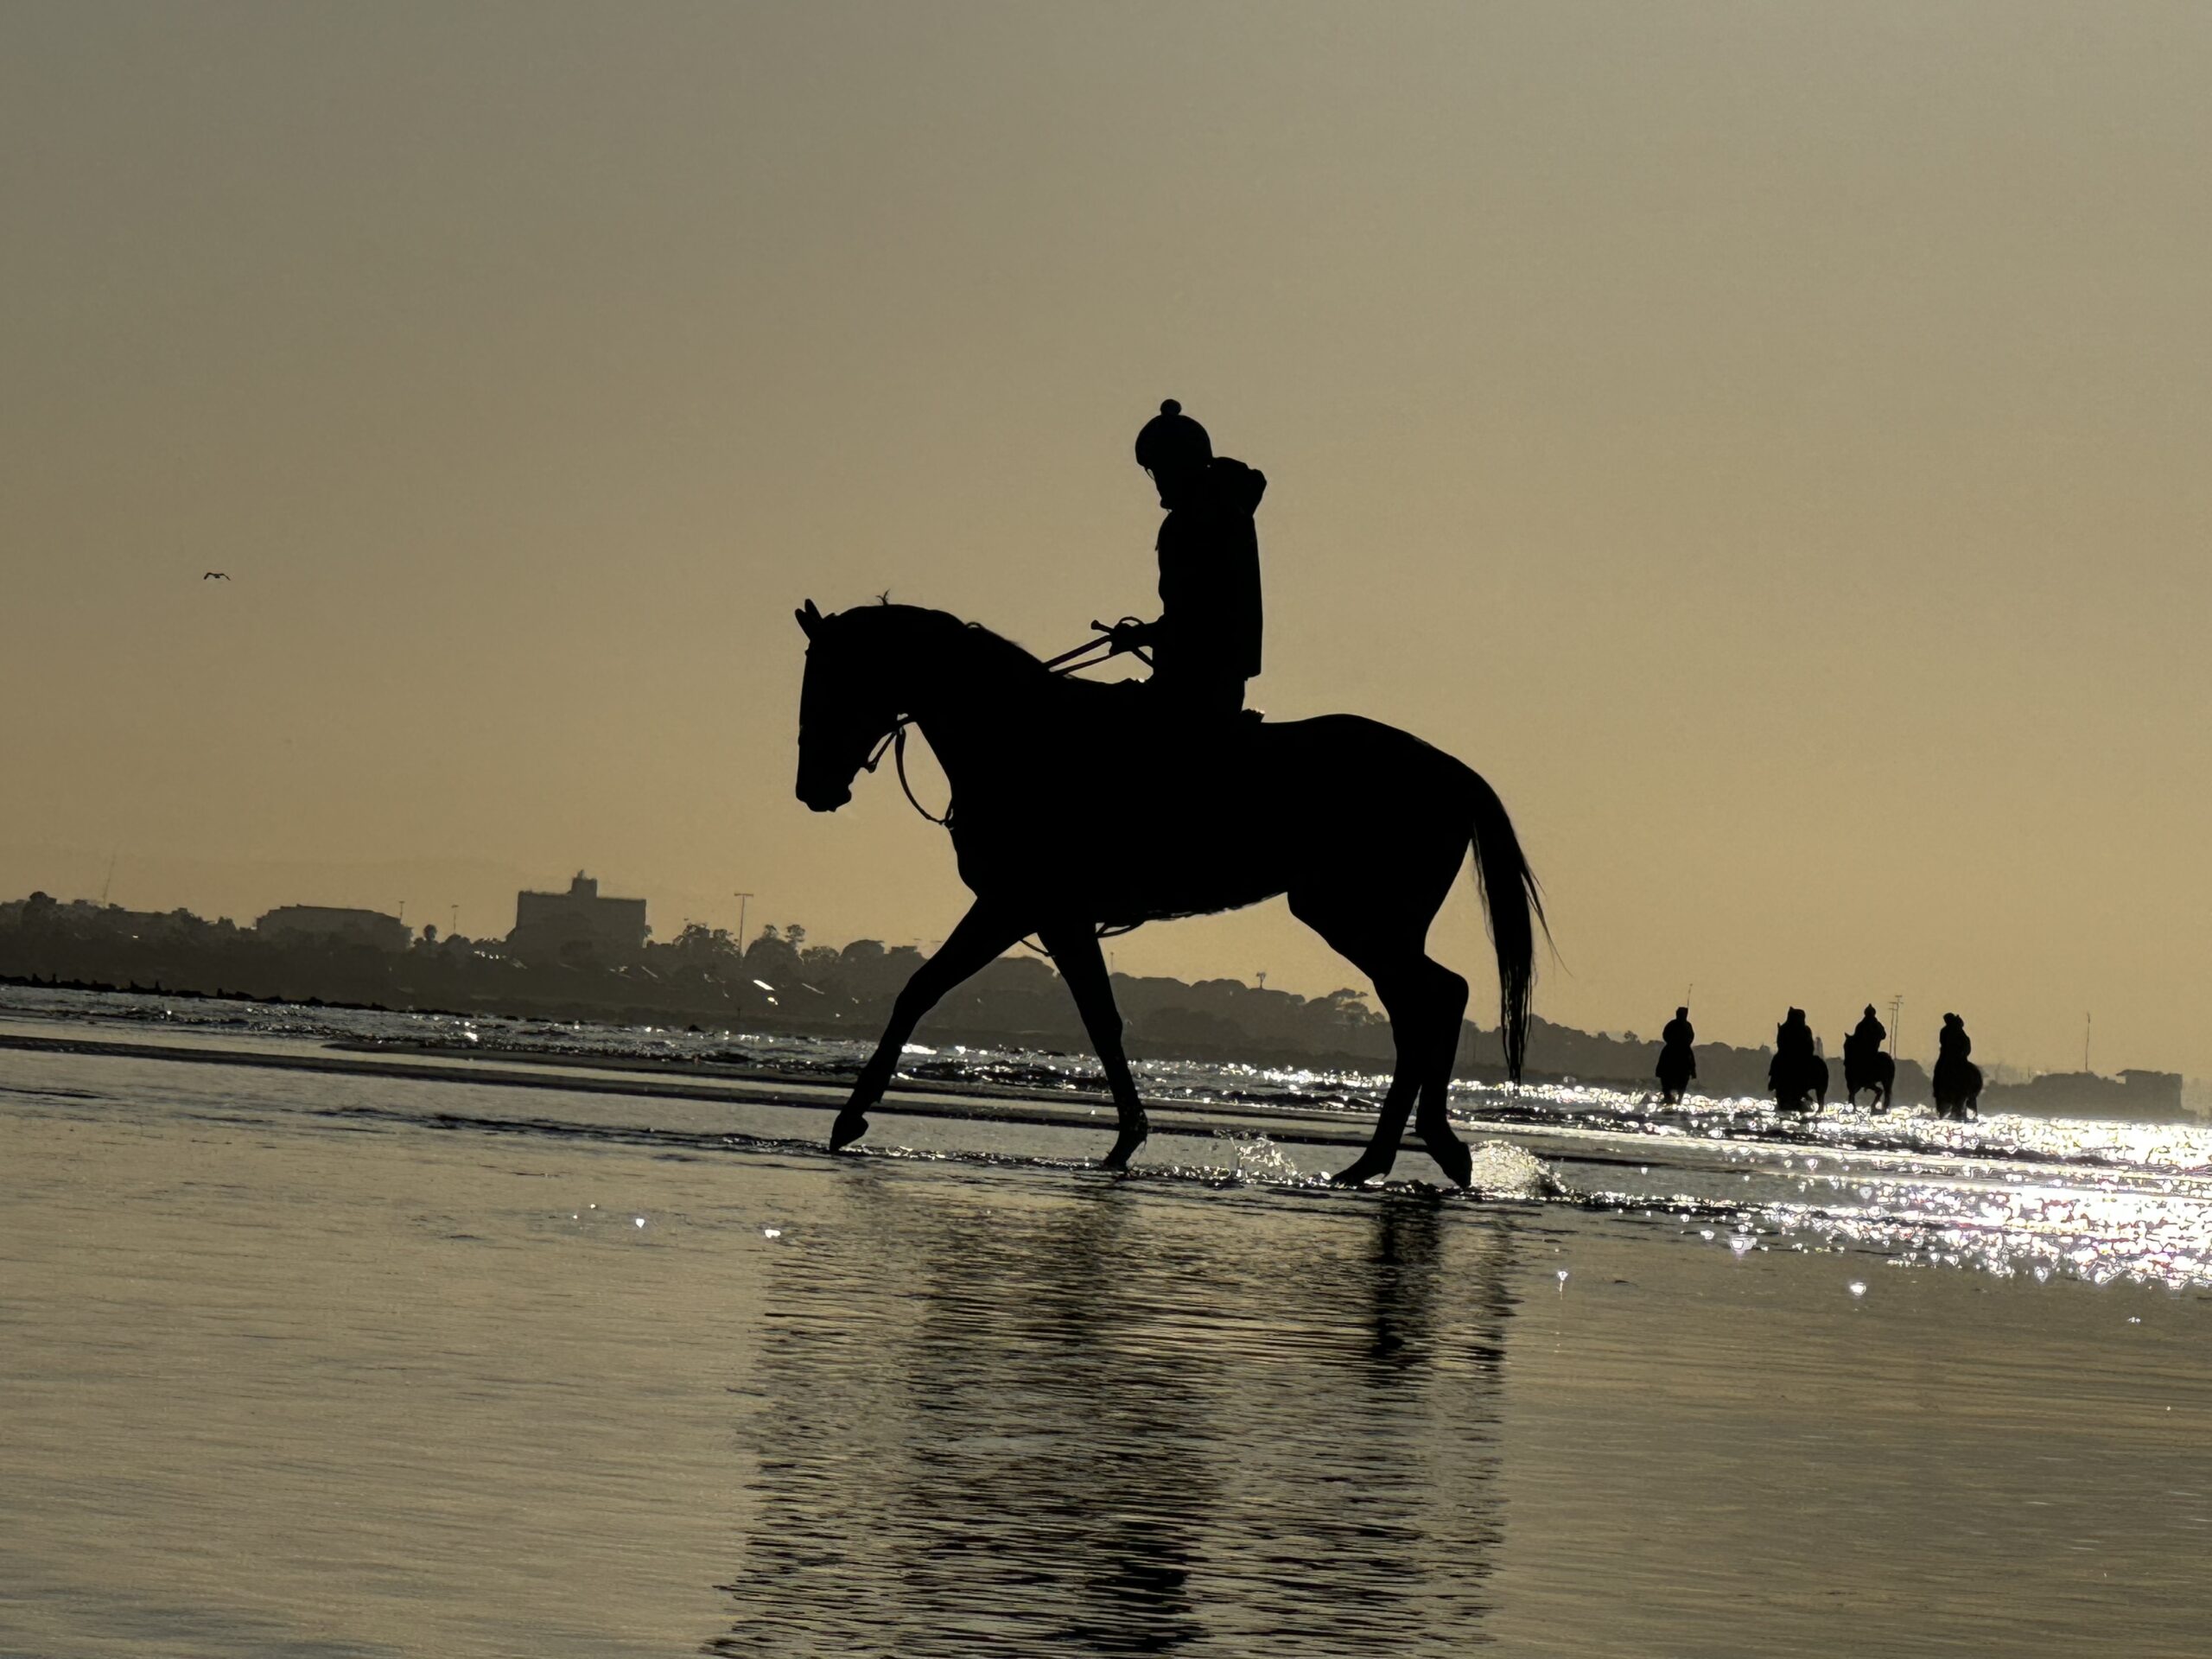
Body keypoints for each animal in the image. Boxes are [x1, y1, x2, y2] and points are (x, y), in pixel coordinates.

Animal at [791, 606, 1539, 1185]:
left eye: (831, 679)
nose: (813, 789)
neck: (1023, 739)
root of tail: (1450, 770)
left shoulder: (1018, 907)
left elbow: (927, 992)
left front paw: (851, 1117)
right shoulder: (1052, 918)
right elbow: (1092, 1019)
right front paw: (1128, 1137)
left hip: (1355, 918)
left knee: (1436, 999)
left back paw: (1420, 1150)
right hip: (1372, 924)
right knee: (1424, 1006)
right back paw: (1386, 1159)